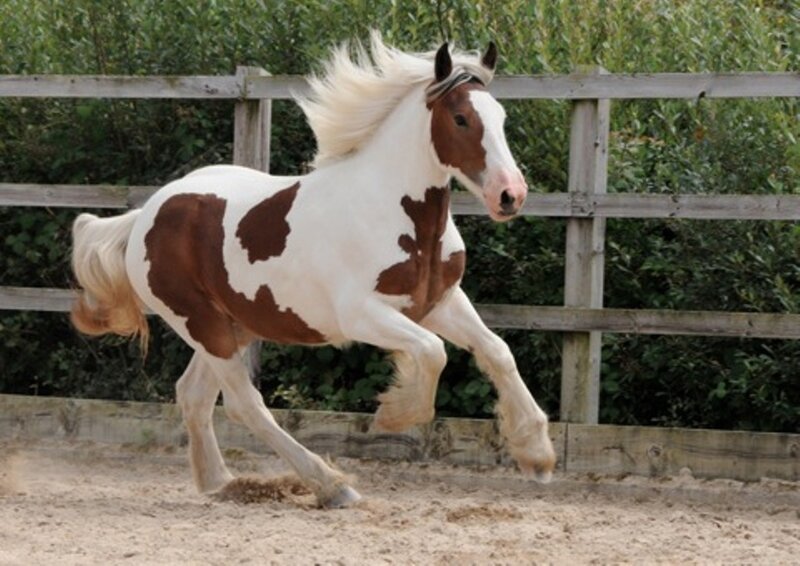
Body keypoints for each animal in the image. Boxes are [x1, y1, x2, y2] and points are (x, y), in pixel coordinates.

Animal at [70, 34, 557, 507]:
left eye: (501, 117)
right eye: (460, 118)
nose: (510, 195)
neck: (394, 212)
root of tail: (145, 216)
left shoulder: (440, 303)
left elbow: (497, 351)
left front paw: (537, 455)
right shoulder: (361, 315)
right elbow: (432, 351)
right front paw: (394, 414)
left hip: (234, 325)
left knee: (194, 395)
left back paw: (221, 483)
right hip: (200, 324)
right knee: (245, 404)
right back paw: (330, 485)